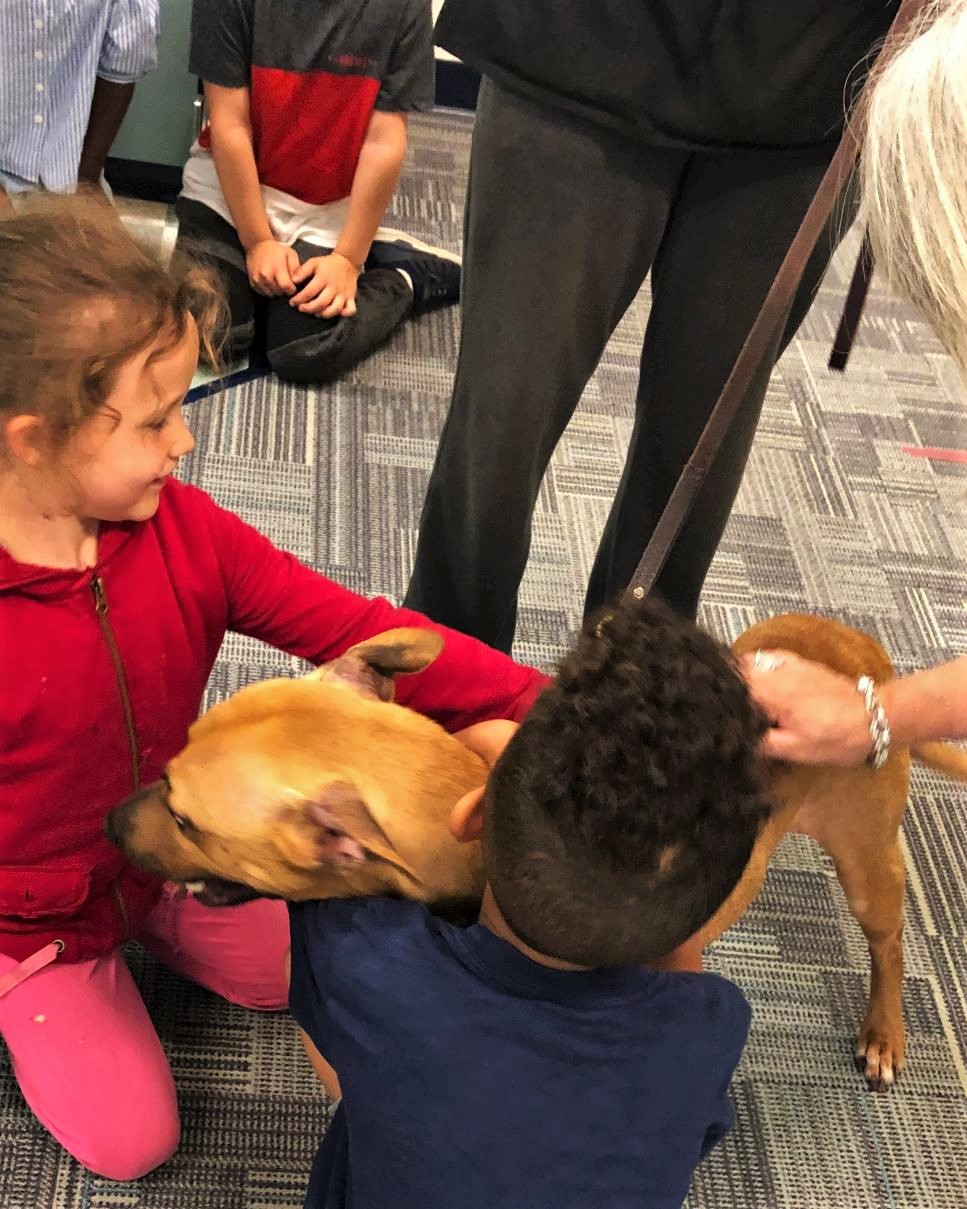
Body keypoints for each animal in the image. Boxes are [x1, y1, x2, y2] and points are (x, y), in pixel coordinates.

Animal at [105, 619, 967, 1092]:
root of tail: (859, 650)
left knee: (889, 941)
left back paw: (884, 1031)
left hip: (866, 858)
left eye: (184, 819)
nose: (110, 820)